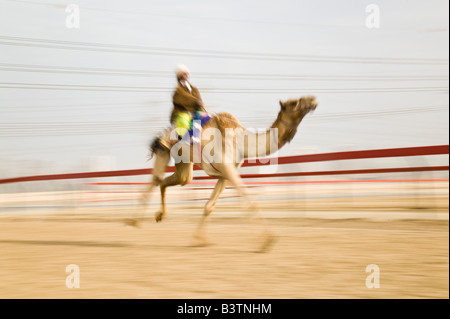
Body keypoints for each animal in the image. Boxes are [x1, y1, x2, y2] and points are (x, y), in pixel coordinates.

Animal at [128, 96, 318, 251]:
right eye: (295, 103)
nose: (313, 99)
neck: (241, 141)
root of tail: (163, 132)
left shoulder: (226, 173)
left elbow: (209, 206)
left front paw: (199, 240)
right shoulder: (227, 167)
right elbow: (249, 199)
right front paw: (267, 241)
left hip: (184, 163)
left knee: (171, 180)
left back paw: (160, 215)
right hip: (164, 151)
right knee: (154, 180)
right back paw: (133, 221)